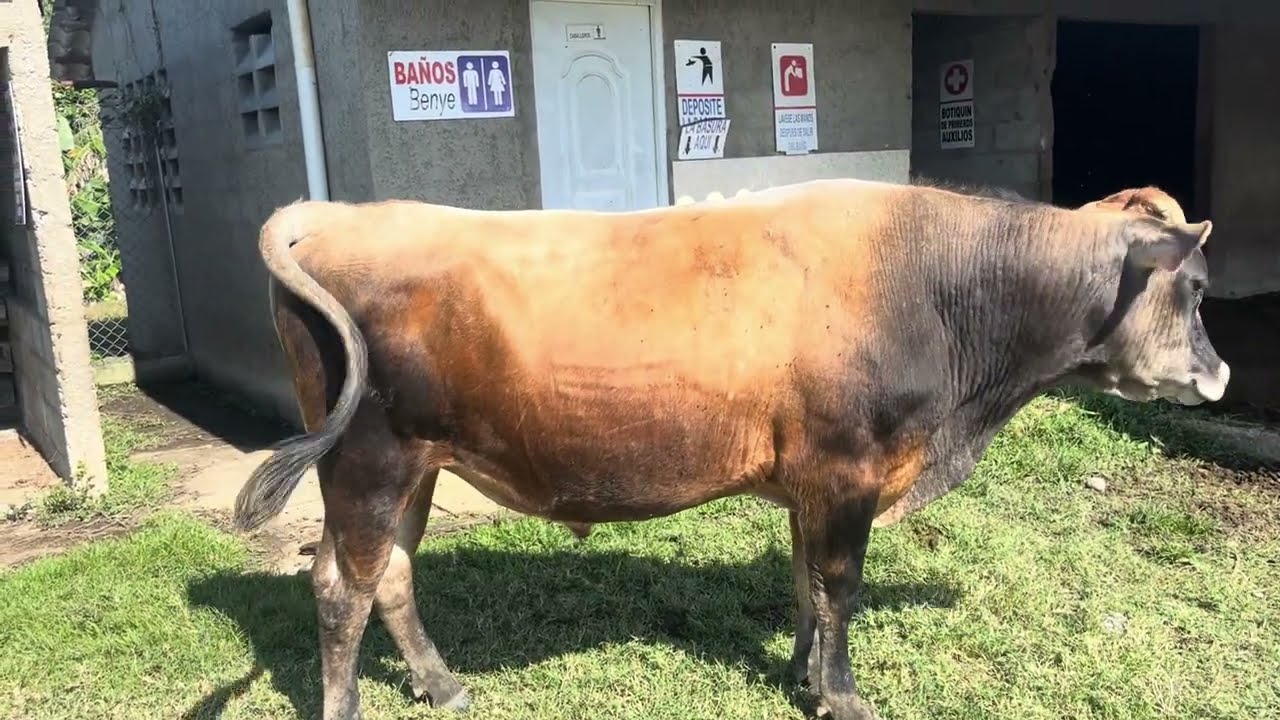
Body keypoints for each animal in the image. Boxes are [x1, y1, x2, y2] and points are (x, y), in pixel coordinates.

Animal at [232, 178, 1229, 720]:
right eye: (1199, 289)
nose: (1219, 376)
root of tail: (333, 212)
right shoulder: (848, 468)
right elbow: (840, 585)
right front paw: (842, 693)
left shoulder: (810, 480)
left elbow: (804, 581)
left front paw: (799, 672)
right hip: (365, 462)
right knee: (342, 587)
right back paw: (351, 702)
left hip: (416, 467)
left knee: (393, 577)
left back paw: (442, 685)